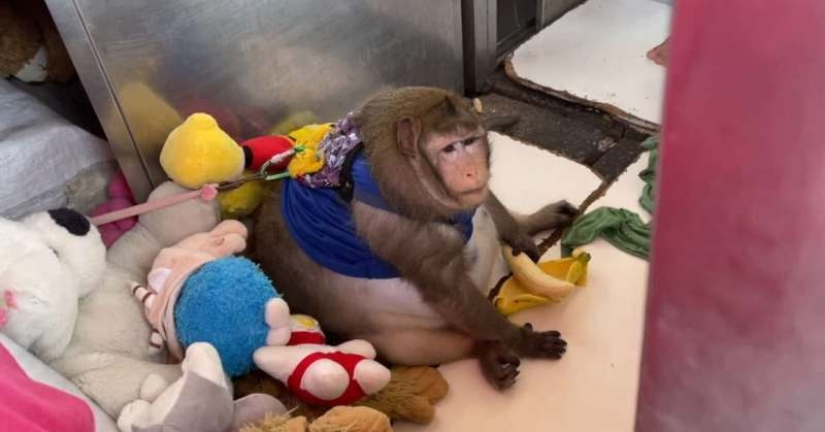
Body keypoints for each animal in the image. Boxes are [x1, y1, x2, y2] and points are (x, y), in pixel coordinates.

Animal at [253, 87, 576, 389]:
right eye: (449, 148)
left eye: (470, 141)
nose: (472, 172)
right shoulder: (405, 234)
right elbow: (449, 294)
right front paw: (522, 341)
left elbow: (481, 200)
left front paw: (522, 230)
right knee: (408, 345)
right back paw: (484, 348)